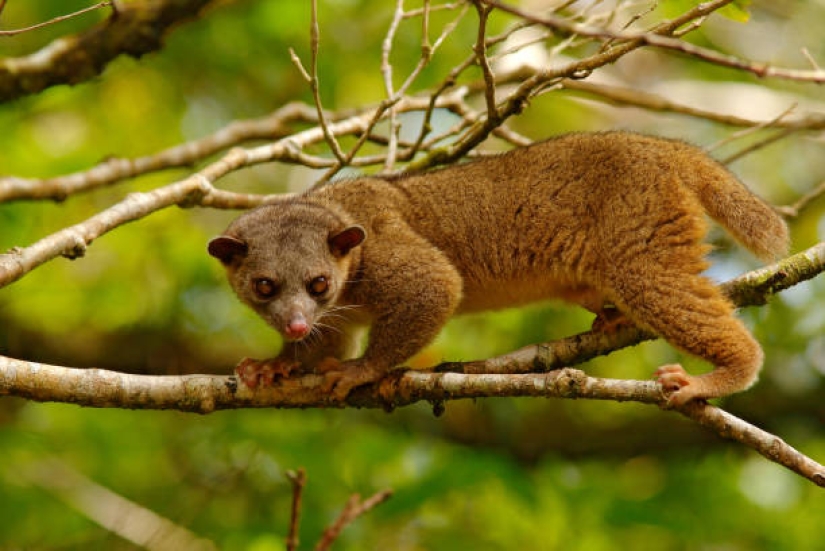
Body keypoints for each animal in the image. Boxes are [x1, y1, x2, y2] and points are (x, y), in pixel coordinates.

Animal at [208, 131, 789, 406]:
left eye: (318, 283)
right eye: (264, 286)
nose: (295, 323)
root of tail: (663, 148)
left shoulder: (386, 250)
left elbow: (436, 285)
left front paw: (360, 371)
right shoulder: (341, 310)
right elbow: (328, 339)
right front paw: (278, 365)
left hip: (638, 223)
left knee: (654, 281)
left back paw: (723, 374)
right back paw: (611, 318)